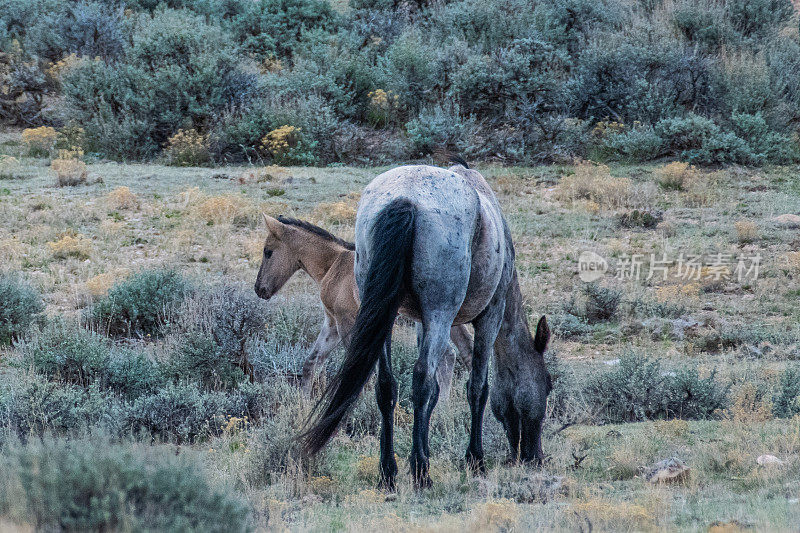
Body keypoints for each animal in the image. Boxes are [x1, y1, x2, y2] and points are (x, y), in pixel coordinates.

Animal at [253, 213, 472, 394]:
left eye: (267, 251)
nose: (258, 289)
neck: (334, 264)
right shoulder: (332, 323)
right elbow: (312, 363)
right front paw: (304, 403)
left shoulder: (347, 322)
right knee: (460, 353)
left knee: (447, 356)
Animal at [300, 160, 552, 488]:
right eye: (548, 385)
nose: (534, 457)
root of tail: (405, 199)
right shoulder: (490, 316)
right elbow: (477, 387)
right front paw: (474, 459)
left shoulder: (421, 323)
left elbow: (434, 392)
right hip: (439, 314)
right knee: (420, 380)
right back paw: (421, 472)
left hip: (385, 316)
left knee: (387, 386)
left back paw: (388, 471)